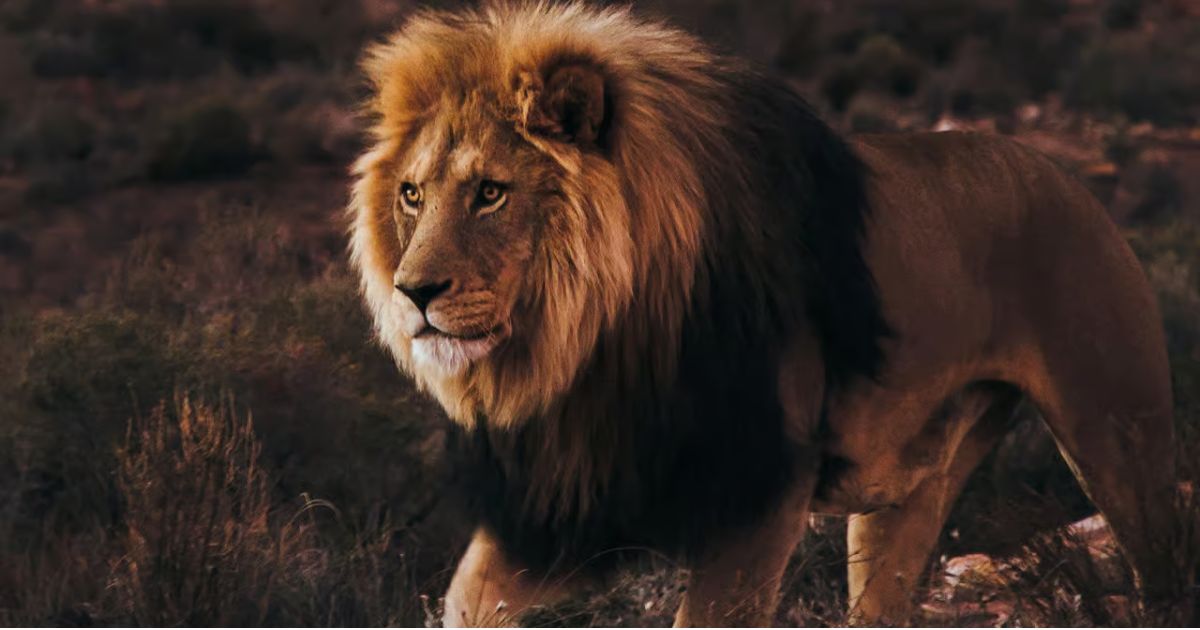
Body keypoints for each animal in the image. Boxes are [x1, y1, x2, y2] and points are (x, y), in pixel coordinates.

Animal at [348, 3, 1189, 626]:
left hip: (1117, 430)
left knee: (1164, 571)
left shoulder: (762, 491)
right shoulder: (569, 498)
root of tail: (1067, 178)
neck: (593, 341)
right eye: (412, 194)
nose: (414, 294)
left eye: (491, 192)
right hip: (903, 498)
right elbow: (466, 599)